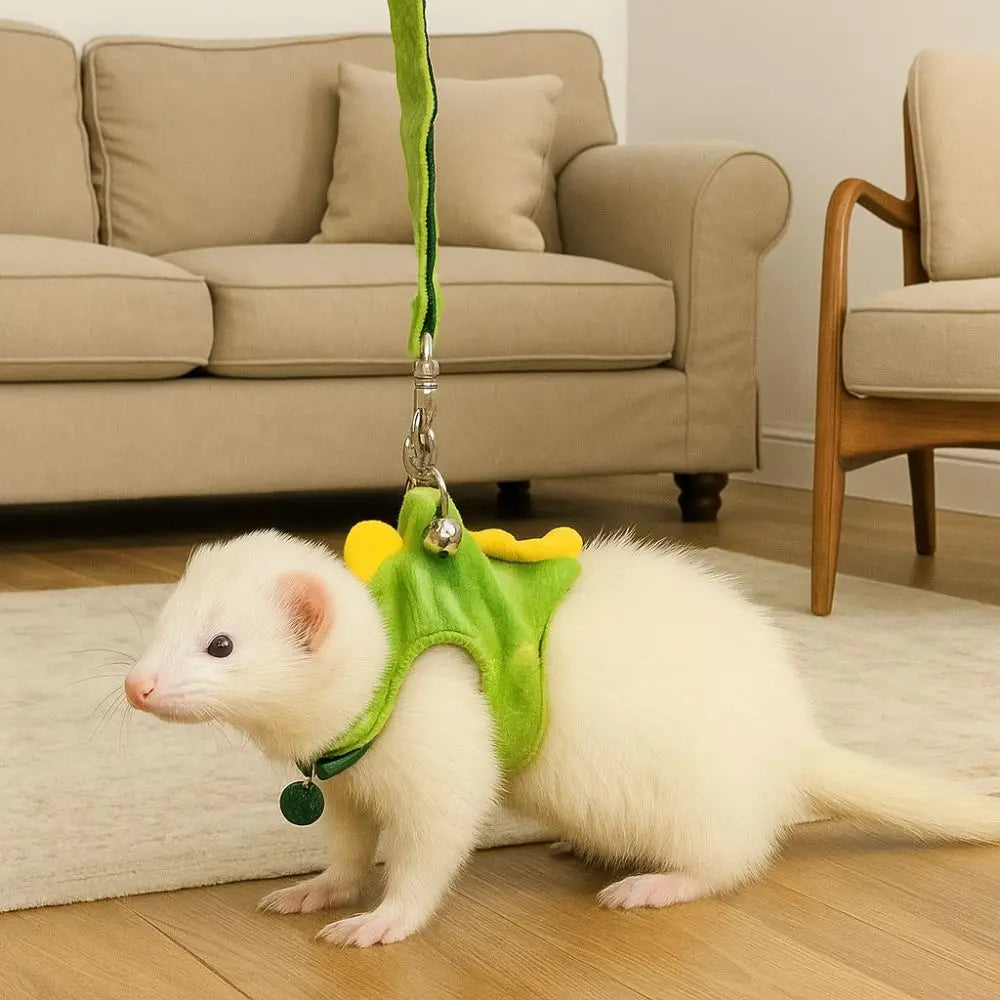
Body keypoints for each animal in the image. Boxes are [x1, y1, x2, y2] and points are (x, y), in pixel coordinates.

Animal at [125, 528, 1000, 947]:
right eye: (161, 621)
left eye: (221, 644)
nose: (137, 685)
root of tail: (796, 737)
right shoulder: (343, 785)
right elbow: (344, 851)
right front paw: (316, 889)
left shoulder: (444, 751)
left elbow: (437, 842)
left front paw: (383, 920)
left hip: (707, 805)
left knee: (731, 860)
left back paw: (653, 884)